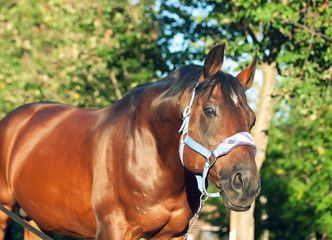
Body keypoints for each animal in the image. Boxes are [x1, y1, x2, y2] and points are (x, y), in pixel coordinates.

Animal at [0, 43, 260, 240]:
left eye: (252, 118)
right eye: (209, 110)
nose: (247, 184)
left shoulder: (172, 235)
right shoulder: (114, 230)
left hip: (37, 220)